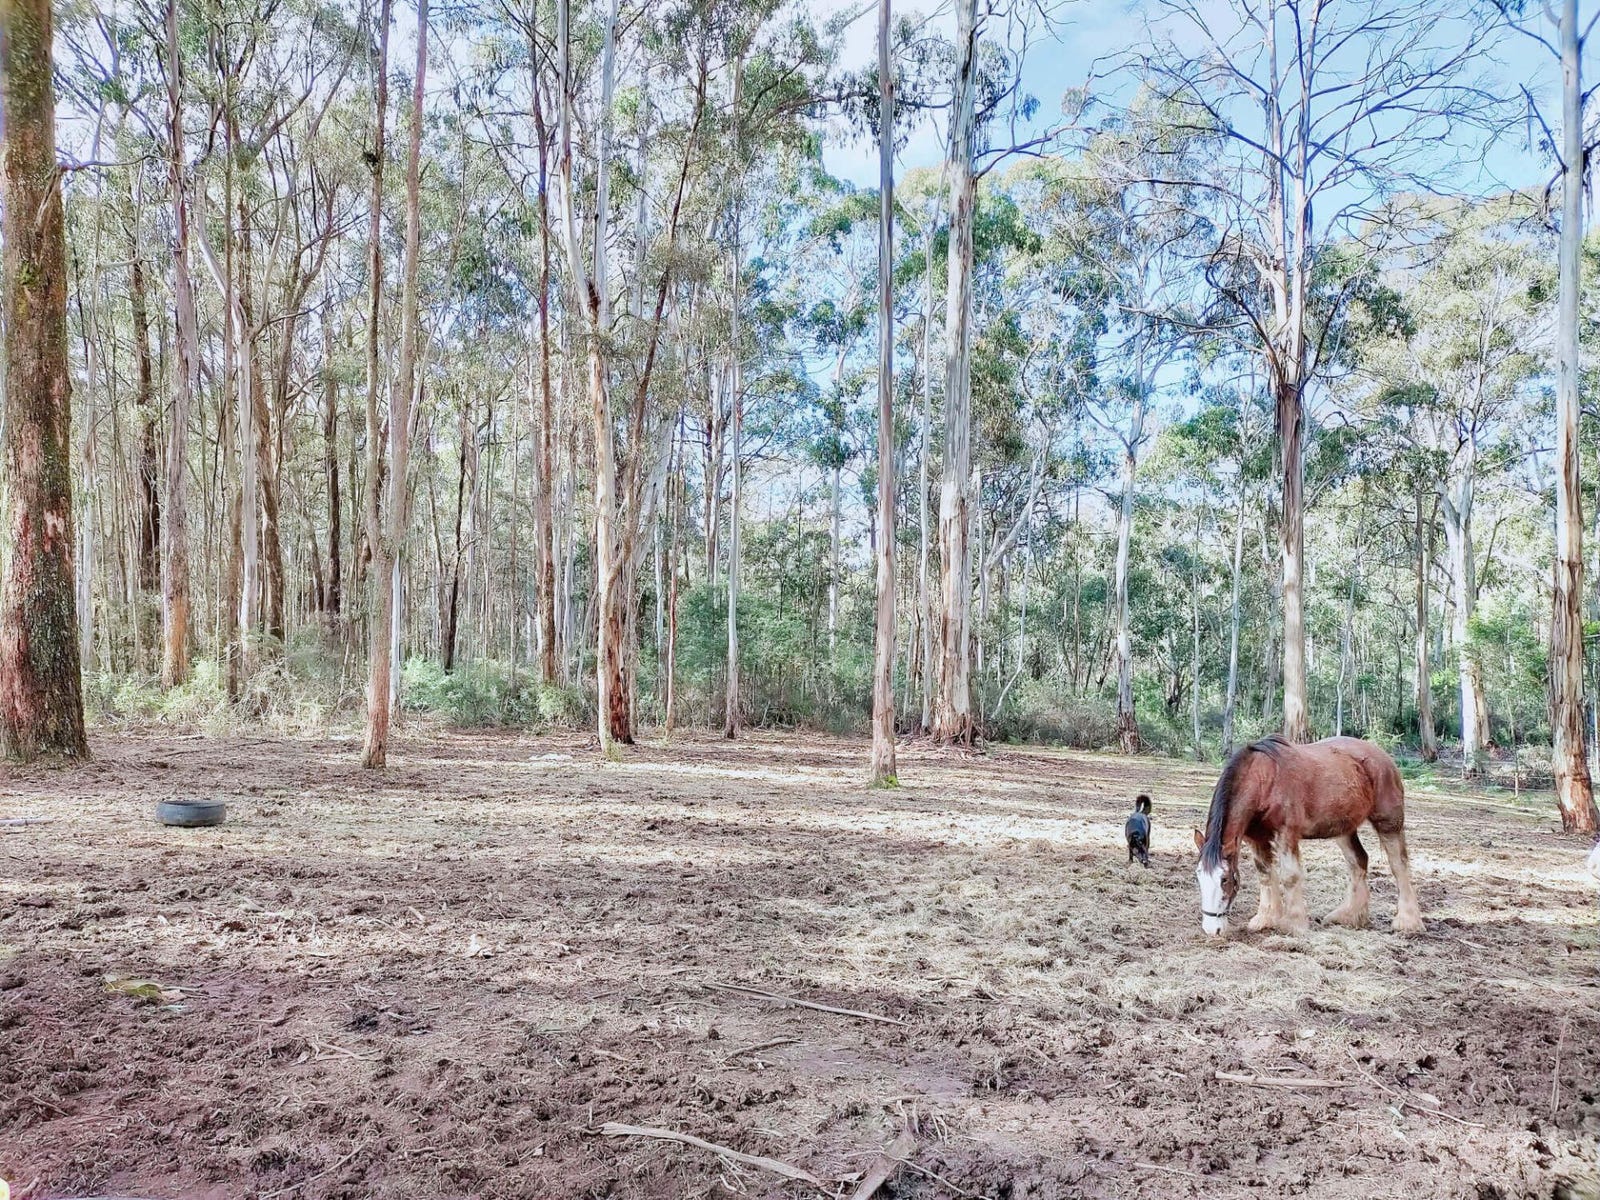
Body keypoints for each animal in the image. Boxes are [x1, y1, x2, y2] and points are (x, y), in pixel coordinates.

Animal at [1192, 734, 1423, 938]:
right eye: (1199, 876)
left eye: (1224, 879)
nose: (1212, 929)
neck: (1265, 780)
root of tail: (1382, 756)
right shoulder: (1256, 839)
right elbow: (1265, 875)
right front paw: (1266, 919)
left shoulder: (1286, 834)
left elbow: (1290, 876)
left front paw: (1294, 924)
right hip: (1343, 829)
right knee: (1358, 861)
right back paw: (1349, 916)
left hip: (1389, 823)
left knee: (1399, 865)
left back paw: (1407, 921)